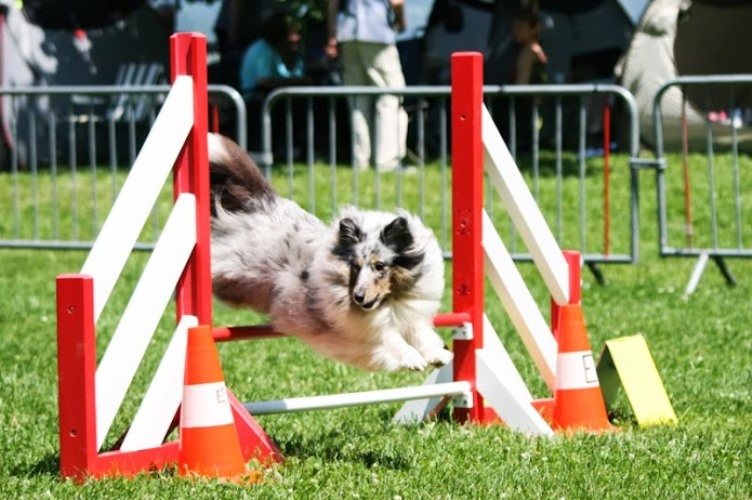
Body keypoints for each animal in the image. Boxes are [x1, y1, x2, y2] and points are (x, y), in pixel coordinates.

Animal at [206, 133, 452, 372]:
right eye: (355, 266)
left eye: (380, 266)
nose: (358, 297)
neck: (388, 302)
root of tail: (262, 204)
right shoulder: (357, 331)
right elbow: (389, 338)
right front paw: (413, 359)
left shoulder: (408, 313)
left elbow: (421, 332)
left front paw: (438, 354)